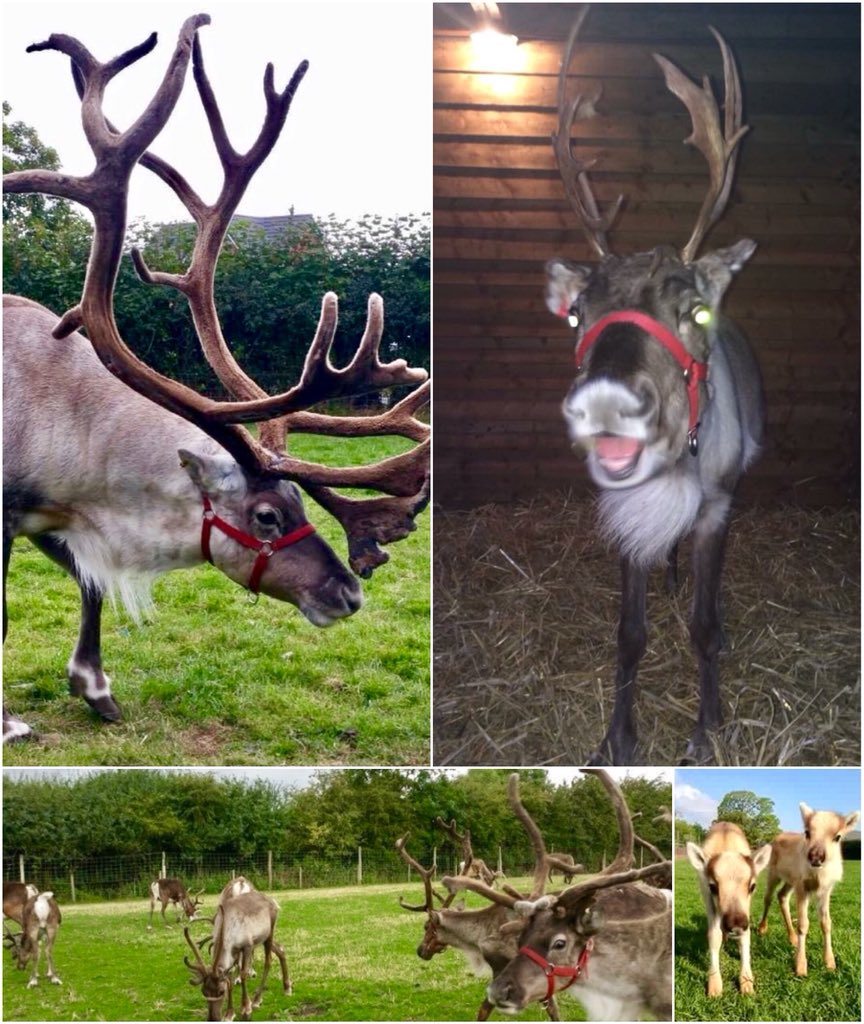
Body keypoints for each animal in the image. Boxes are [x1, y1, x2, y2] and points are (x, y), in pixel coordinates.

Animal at [2, 14, 429, 741]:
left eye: (298, 503)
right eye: (266, 515)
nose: (348, 593)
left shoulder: (56, 518)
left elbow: (91, 585)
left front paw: (95, 687)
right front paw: (11, 722)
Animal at [183, 888, 290, 1021]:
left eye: (221, 991)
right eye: (203, 991)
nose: (213, 1018)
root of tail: (274, 902)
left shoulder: (247, 946)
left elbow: (243, 974)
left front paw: (246, 1009)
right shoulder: (233, 953)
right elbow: (229, 979)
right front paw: (229, 1013)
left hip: (270, 932)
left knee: (268, 961)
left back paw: (257, 1000)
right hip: (263, 938)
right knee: (281, 949)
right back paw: (287, 987)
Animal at [545, 10, 764, 766]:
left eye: (694, 310)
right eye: (577, 313)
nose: (607, 403)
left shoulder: (718, 507)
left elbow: (702, 626)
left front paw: (706, 727)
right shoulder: (625, 514)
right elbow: (629, 634)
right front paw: (618, 736)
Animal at [686, 821, 772, 997]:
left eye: (752, 886)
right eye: (712, 886)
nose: (736, 925)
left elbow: (746, 937)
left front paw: (747, 984)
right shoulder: (708, 900)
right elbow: (714, 935)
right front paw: (714, 987)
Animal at [757, 803, 859, 977]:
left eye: (837, 837)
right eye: (807, 832)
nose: (816, 857)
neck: (818, 876)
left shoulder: (826, 889)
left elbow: (826, 923)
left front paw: (830, 963)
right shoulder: (802, 886)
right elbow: (803, 924)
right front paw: (800, 967)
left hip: (791, 880)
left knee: (782, 895)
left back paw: (792, 938)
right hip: (773, 872)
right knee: (768, 897)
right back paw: (762, 928)